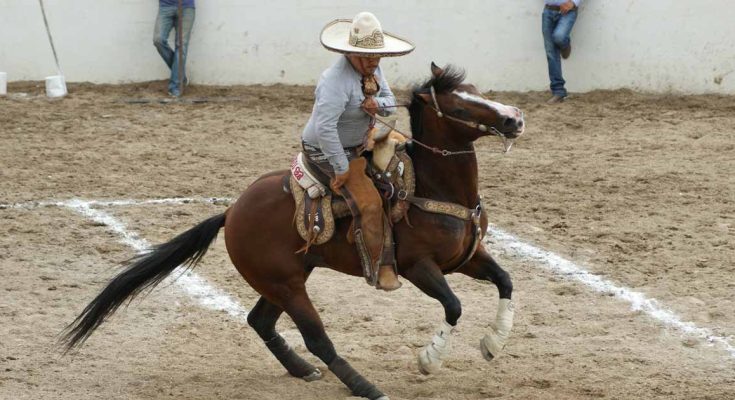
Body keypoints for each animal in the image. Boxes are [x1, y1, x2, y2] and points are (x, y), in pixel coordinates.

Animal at [61, 62, 524, 400]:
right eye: (460, 107)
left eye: (478, 91)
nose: (514, 119)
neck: (430, 187)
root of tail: (231, 211)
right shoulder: (419, 267)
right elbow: (454, 306)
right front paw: (430, 359)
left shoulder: (467, 258)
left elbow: (506, 281)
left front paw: (494, 343)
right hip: (287, 285)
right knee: (316, 338)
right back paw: (364, 386)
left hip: (285, 279)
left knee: (260, 321)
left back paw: (303, 369)